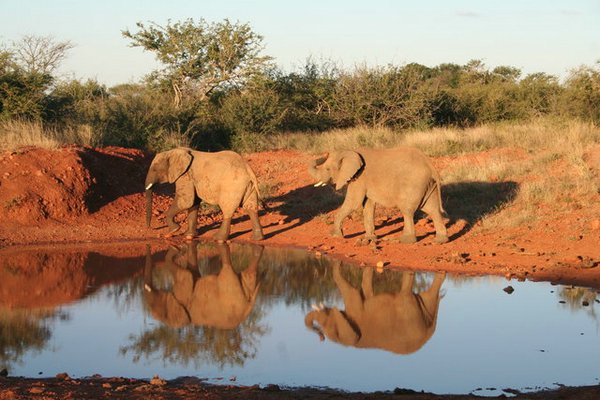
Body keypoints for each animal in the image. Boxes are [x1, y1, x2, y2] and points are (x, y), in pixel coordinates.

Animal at [304, 264, 446, 354]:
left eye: (326, 323)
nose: (322, 339)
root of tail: (428, 334)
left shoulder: (356, 309)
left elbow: (352, 292)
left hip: (409, 312)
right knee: (429, 296)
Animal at [310, 145, 446, 242]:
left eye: (328, 169)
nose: (325, 153)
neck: (350, 151)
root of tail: (430, 165)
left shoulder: (359, 178)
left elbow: (353, 203)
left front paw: (335, 235)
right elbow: (368, 205)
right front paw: (370, 238)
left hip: (413, 184)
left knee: (407, 211)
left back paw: (405, 240)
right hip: (428, 184)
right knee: (432, 209)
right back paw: (441, 240)